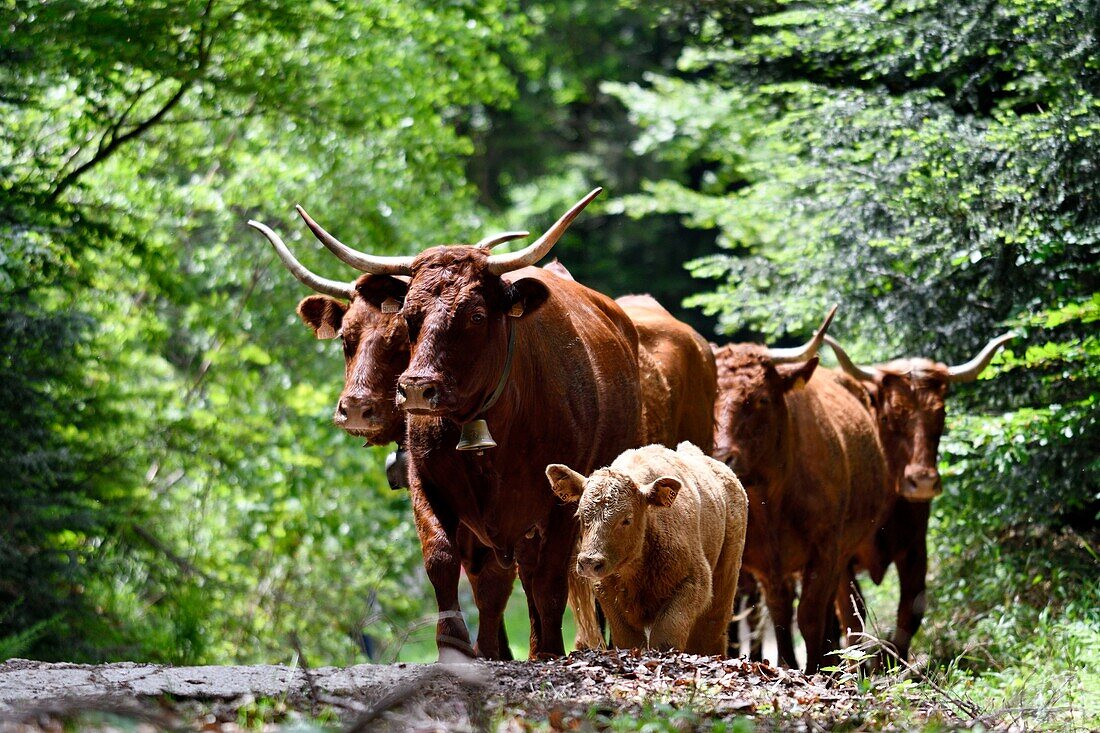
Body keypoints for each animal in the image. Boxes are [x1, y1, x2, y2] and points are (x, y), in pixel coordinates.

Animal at [275, 188, 646, 655]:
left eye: (475, 316)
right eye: (410, 317)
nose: (416, 388)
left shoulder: (561, 502)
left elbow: (547, 583)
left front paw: (544, 652)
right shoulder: (429, 487)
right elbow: (444, 560)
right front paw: (456, 644)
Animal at [547, 440, 748, 651]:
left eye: (626, 519)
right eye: (580, 515)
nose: (589, 563)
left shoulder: (694, 582)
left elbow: (666, 636)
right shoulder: (608, 595)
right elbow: (630, 640)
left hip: (725, 581)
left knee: (711, 632)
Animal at [708, 305, 888, 669]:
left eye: (761, 399)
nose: (723, 455)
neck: (773, 499)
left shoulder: (826, 549)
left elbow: (811, 615)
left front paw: (816, 667)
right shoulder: (766, 565)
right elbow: (780, 616)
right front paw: (789, 665)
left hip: (843, 553)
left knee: (845, 610)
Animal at [827, 330, 1012, 655]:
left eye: (941, 414)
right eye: (888, 417)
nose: (923, 482)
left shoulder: (915, 550)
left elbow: (908, 617)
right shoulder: (841, 562)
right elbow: (852, 621)